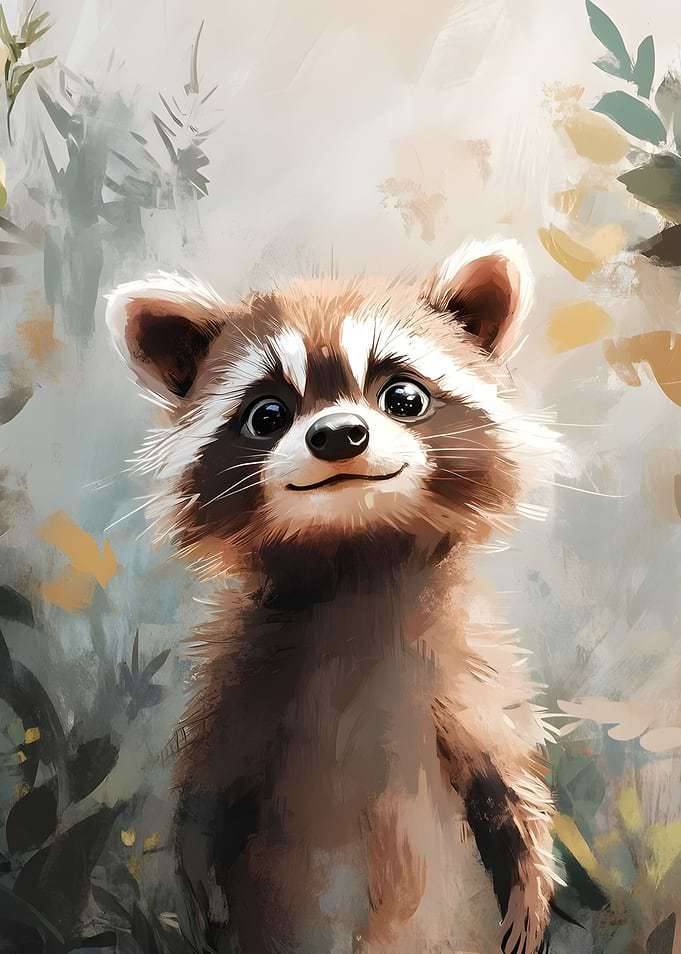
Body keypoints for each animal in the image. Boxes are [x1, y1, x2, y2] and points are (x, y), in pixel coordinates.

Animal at [106, 238, 561, 954]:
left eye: (403, 395)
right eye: (267, 414)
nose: (339, 434)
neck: (356, 551)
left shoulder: (472, 674)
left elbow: (507, 776)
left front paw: (532, 883)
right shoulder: (239, 676)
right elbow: (209, 783)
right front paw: (197, 886)